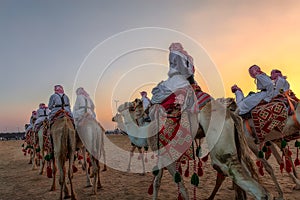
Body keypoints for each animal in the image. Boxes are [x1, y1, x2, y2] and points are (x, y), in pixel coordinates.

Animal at [116, 94, 270, 199]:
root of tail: (231, 114)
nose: (116, 112)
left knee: (257, 189)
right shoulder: (161, 155)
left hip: (222, 152)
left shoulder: (168, 157)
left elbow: (182, 188)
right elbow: (156, 183)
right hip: (237, 148)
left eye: (128, 105)